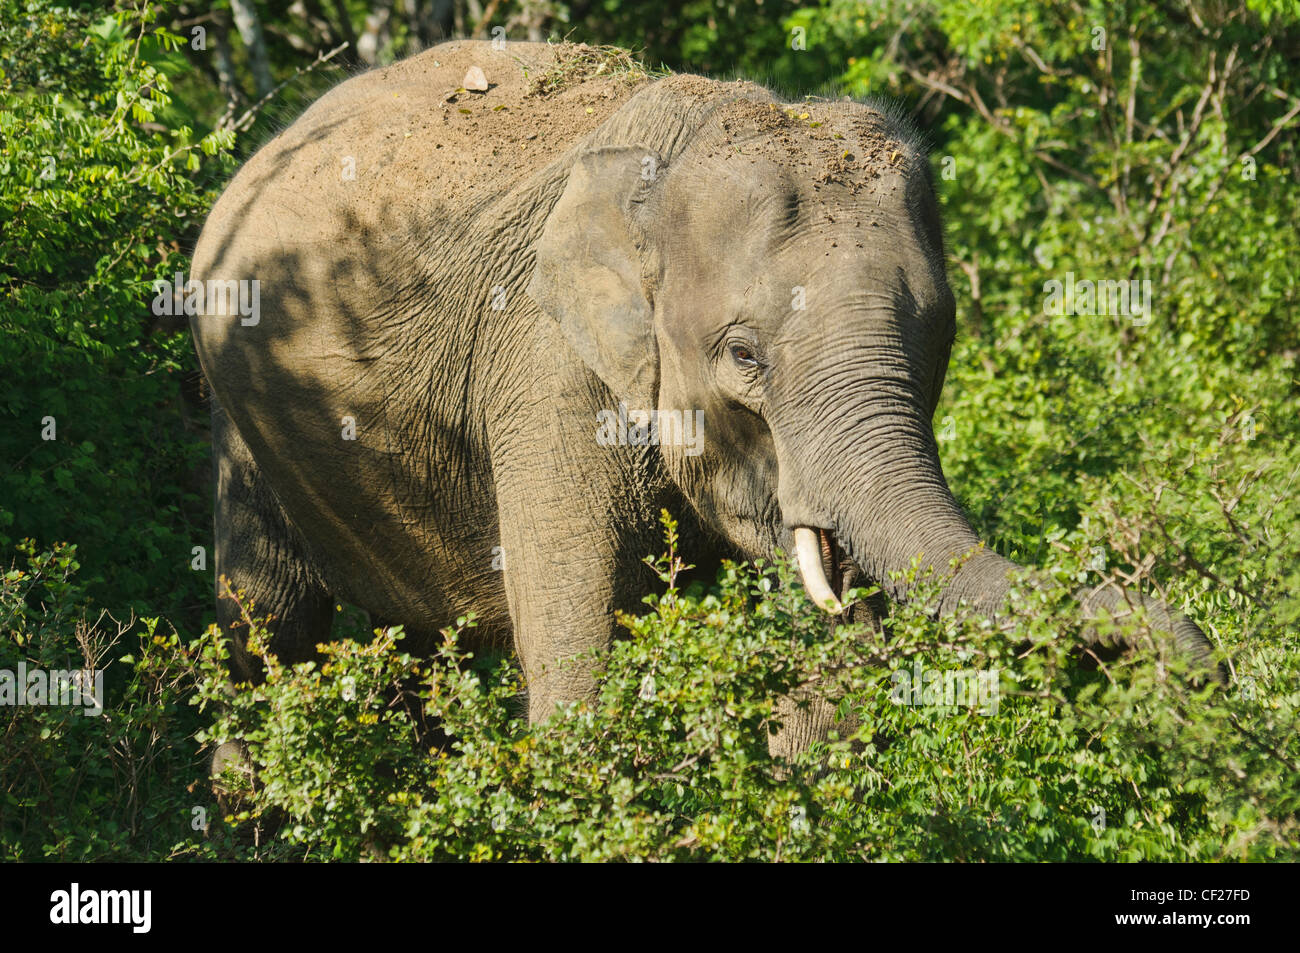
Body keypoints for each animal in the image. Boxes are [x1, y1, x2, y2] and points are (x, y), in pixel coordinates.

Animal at [190, 40, 1222, 752]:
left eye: (939, 344)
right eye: (743, 355)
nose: (1195, 660)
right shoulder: (548, 367)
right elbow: (578, 659)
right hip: (240, 409)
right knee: (269, 624)